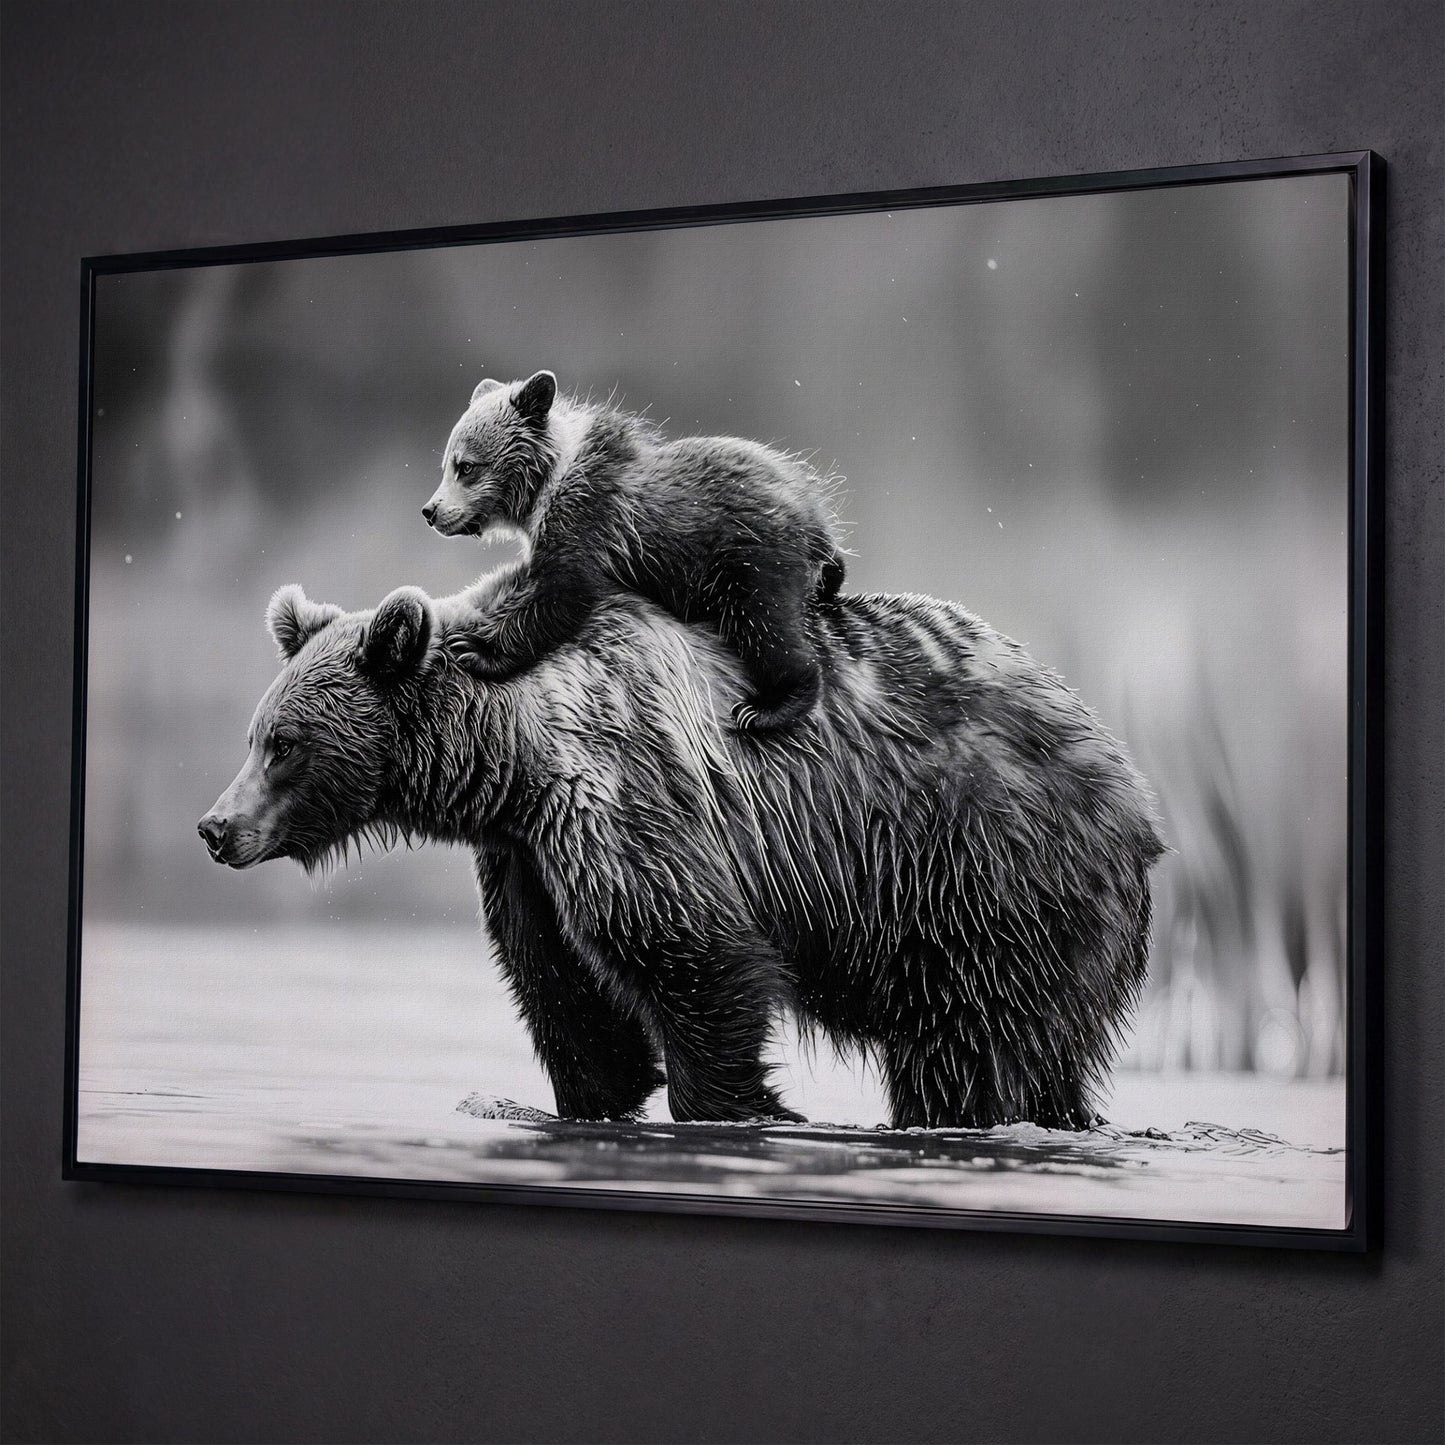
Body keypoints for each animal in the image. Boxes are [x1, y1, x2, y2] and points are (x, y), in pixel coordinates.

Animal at [199, 569, 1164, 1129]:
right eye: (256, 734)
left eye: (283, 742)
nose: (216, 826)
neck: (508, 757)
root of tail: (1132, 787)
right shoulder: (525, 860)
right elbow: (562, 992)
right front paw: (603, 1093)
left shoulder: (625, 794)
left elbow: (694, 956)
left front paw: (743, 1107)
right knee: (1046, 1057)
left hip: (979, 875)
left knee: (964, 1047)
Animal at [421, 372, 848, 732]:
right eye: (445, 464)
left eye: (466, 466)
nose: (431, 511)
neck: (546, 487)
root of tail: (813, 514)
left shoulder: (587, 522)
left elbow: (562, 596)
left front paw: (474, 649)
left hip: (750, 557)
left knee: (766, 625)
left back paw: (768, 706)